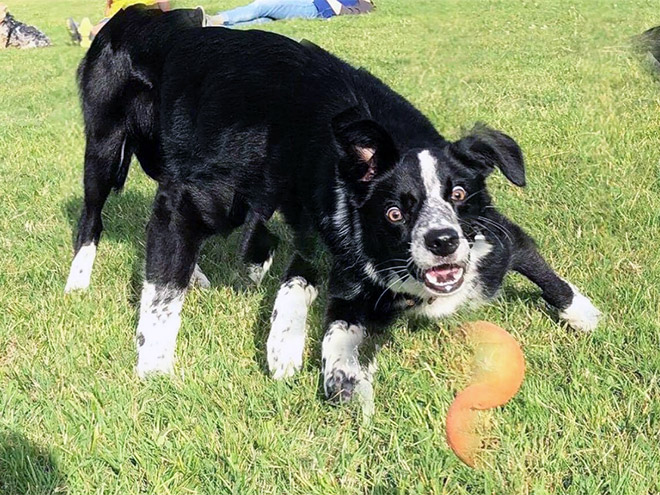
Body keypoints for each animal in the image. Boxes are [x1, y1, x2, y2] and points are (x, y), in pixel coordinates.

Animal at [65, 7, 600, 404]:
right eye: (394, 212)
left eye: (459, 195)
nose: (444, 241)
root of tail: (135, 16)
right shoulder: (191, 199)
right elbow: (162, 296)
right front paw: (155, 371)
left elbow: (529, 255)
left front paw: (582, 312)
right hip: (105, 147)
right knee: (95, 216)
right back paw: (80, 280)